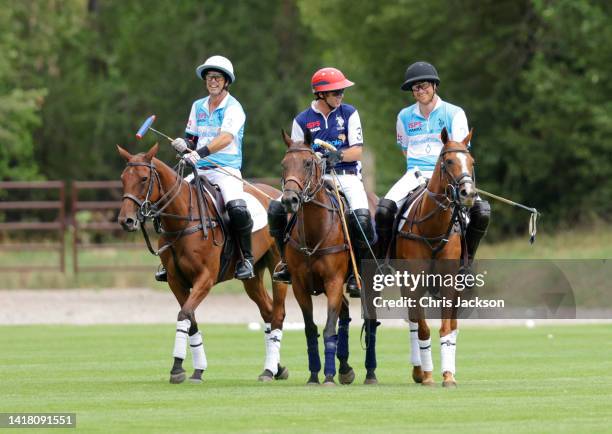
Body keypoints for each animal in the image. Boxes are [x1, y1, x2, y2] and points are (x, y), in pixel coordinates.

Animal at [117, 145, 290, 384]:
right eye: (123, 178)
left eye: (143, 178)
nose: (126, 221)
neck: (183, 220)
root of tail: (274, 194)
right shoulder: (175, 281)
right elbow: (190, 319)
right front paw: (196, 369)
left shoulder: (205, 278)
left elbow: (184, 315)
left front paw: (177, 368)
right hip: (253, 276)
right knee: (268, 311)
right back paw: (277, 368)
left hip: (276, 267)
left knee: (278, 314)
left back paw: (269, 370)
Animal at [278, 131, 378, 384]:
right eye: (284, 164)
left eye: (307, 162)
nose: (289, 200)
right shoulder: (300, 285)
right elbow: (311, 329)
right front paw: (315, 375)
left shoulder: (333, 281)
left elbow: (329, 329)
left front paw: (329, 376)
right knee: (345, 312)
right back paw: (345, 368)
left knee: (371, 321)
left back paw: (370, 372)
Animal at [394, 127, 476, 388]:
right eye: (448, 161)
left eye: (472, 161)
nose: (468, 193)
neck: (433, 228)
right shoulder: (414, 282)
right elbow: (422, 329)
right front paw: (428, 375)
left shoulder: (450, 283)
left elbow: (446, 328)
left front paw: (448, 375)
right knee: (412, 321)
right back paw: (419, 371)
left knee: (454, 324)